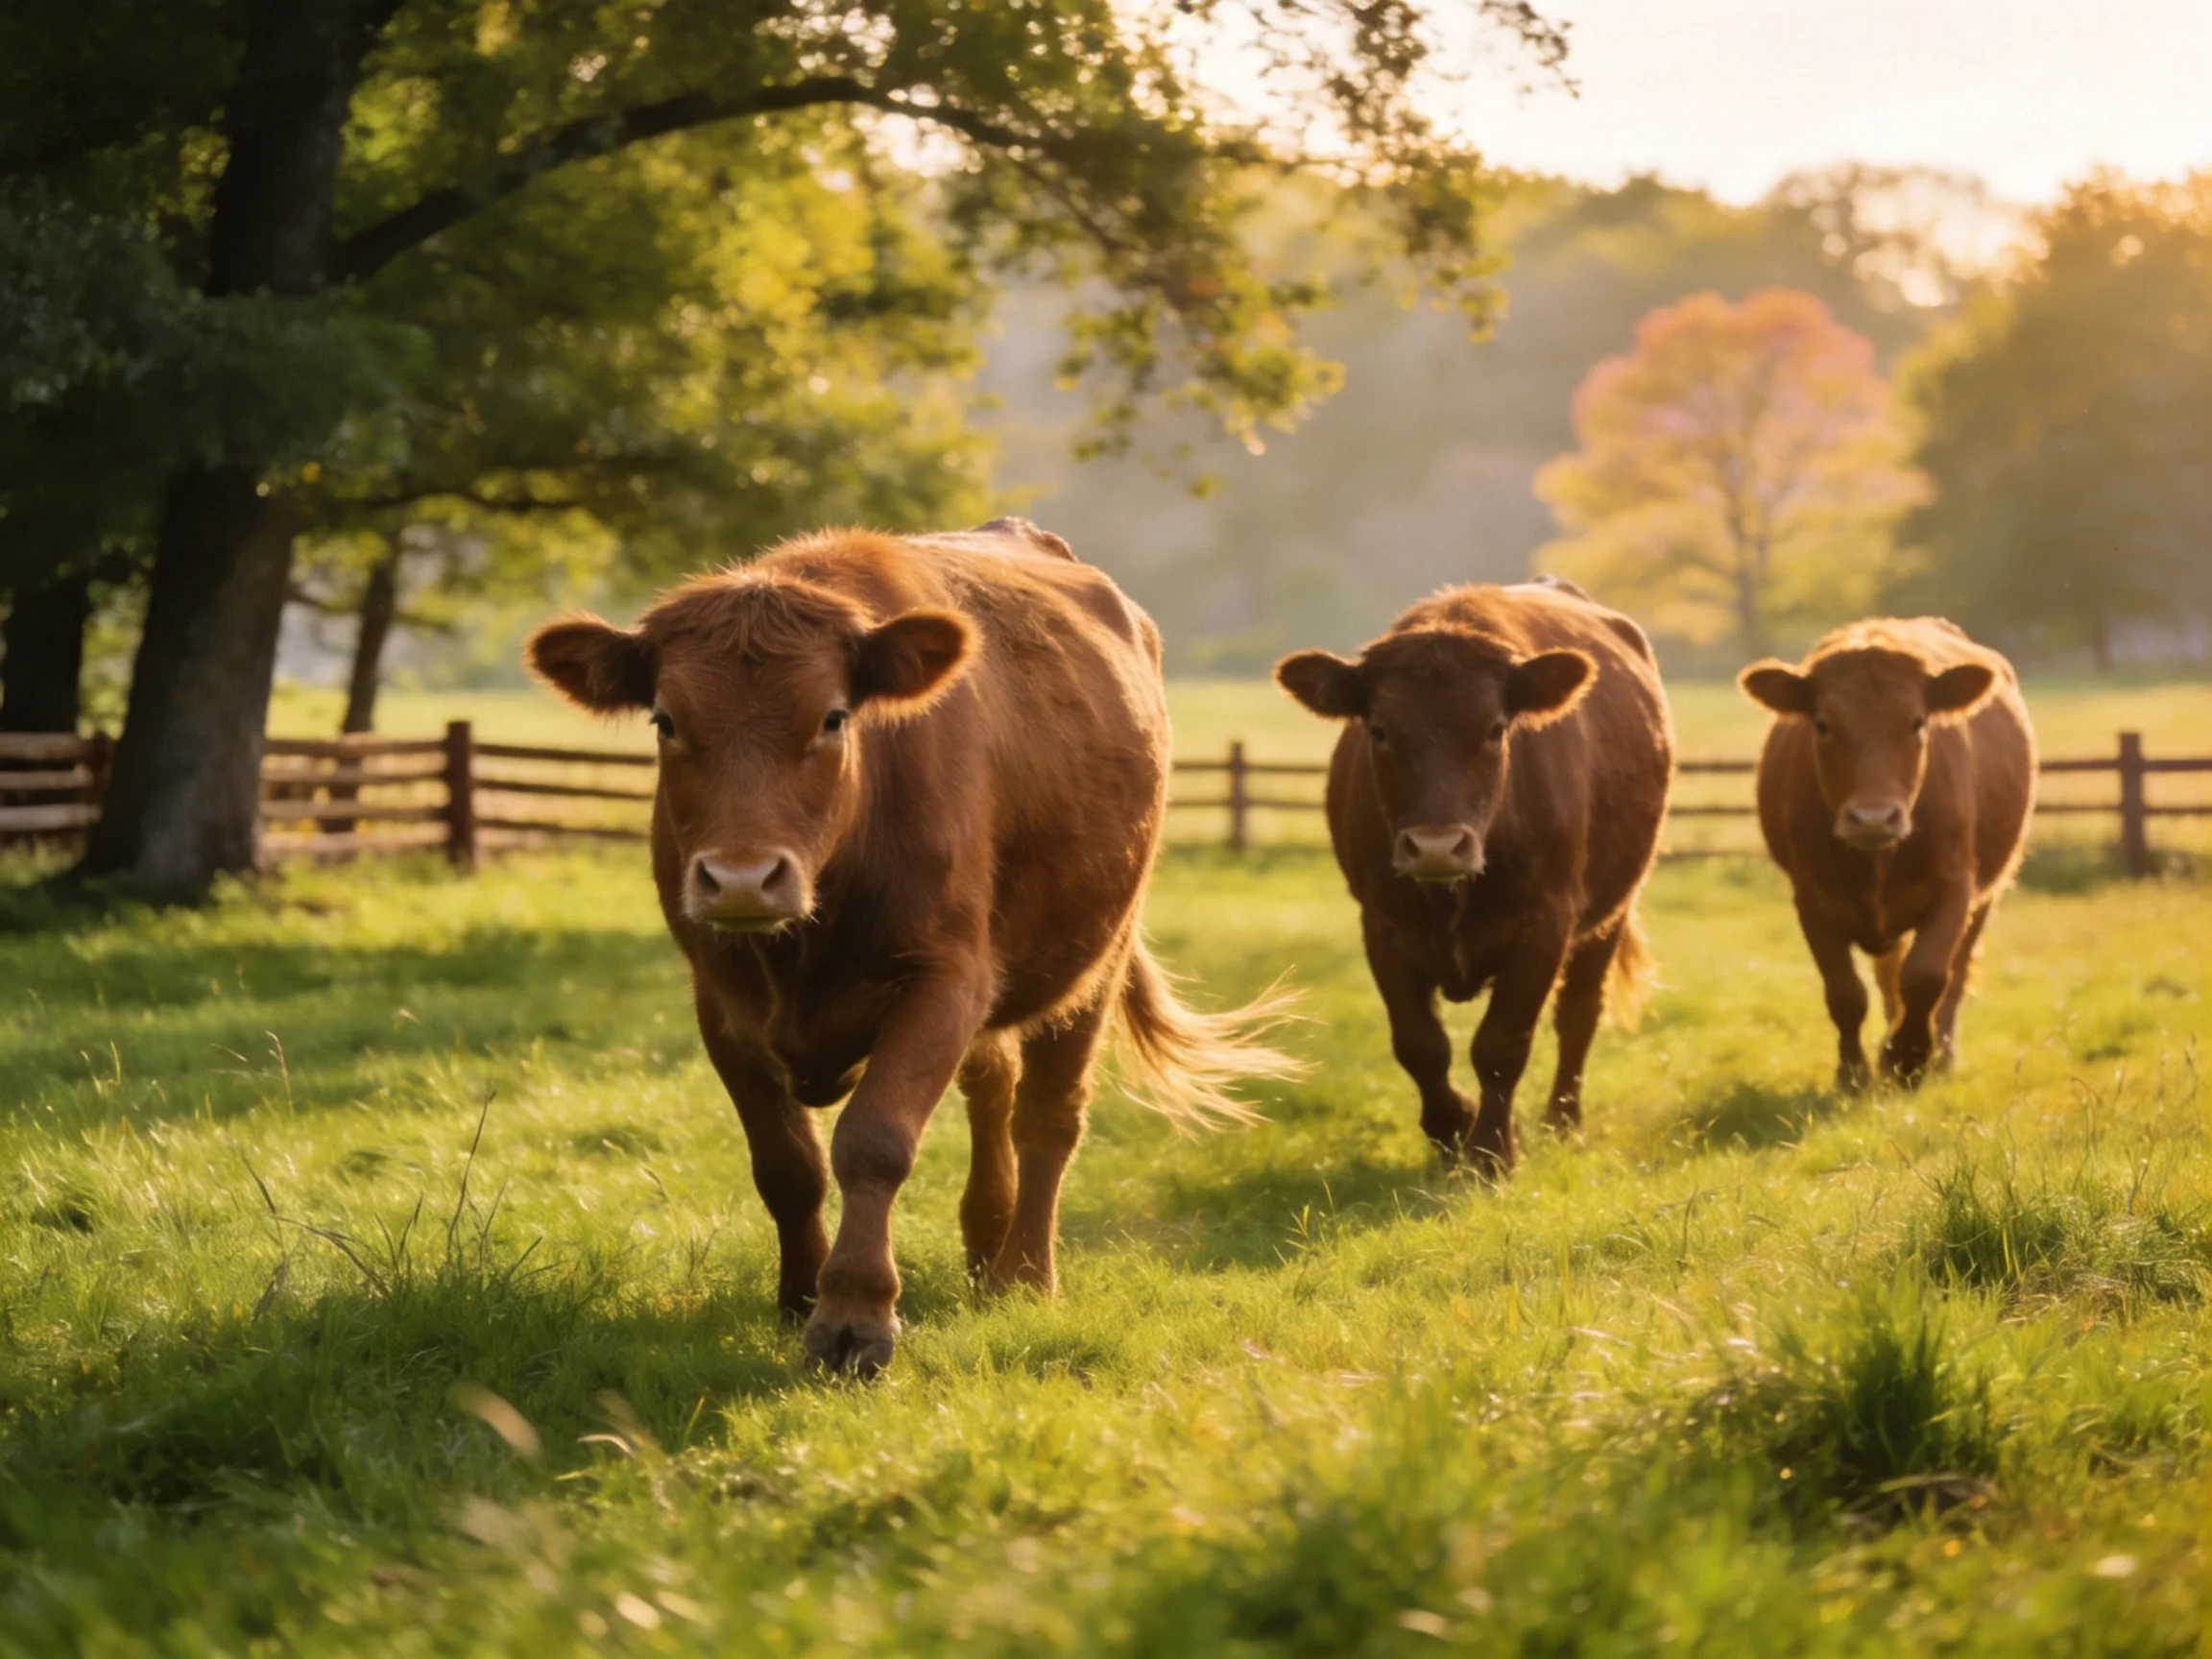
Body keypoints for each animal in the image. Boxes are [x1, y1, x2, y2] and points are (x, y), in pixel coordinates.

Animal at [527, 518, 1292, 1375]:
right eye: (665, 719)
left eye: (833, 717)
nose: (741, 879)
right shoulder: (720, 1000)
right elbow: (786, 1164)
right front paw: (798, 1298)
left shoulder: (944, 979)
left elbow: (874, 1141)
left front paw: (853, 1317)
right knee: (993, 1090)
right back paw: (985, 1244)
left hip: (1096, 957)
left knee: (1048, 1117)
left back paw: (1025, 1274)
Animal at [1274, 578, 1673, 1174]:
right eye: (1379, 730)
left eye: (1495, 729)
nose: (1437, 847)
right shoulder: (1381, 925)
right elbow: (1419, 1044)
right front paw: (1452, 1128)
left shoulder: (1546, 923)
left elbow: (1502, 1044)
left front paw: (1492, 1150)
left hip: (1612, 911)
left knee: (1578, 1015)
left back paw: (1562, 1121)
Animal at [1738, 618, 2035, 1089]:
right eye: (1822, 724)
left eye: (1917, 723)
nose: (1873, 818)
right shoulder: (1811, 900)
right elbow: (1846, 993)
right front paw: (1854, 1072)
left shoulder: (1956, 889)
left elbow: (1928, 976)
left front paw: (1909, 1057)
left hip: (1987, 895)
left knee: (1955, 974)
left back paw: (1941, 1054)